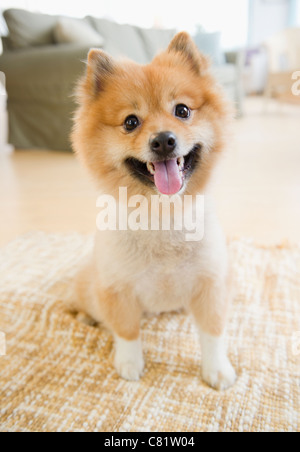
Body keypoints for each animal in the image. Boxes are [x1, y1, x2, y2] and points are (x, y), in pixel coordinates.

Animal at [71, 32, 237, 392]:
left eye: (183, 110)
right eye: (131, 122)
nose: (163, 140)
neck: (162, 215)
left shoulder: (210, 282)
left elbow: (213, 331)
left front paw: (216, 369)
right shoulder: (116, 286)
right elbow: (126, 329)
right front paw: (129, 363)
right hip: (90, 285)